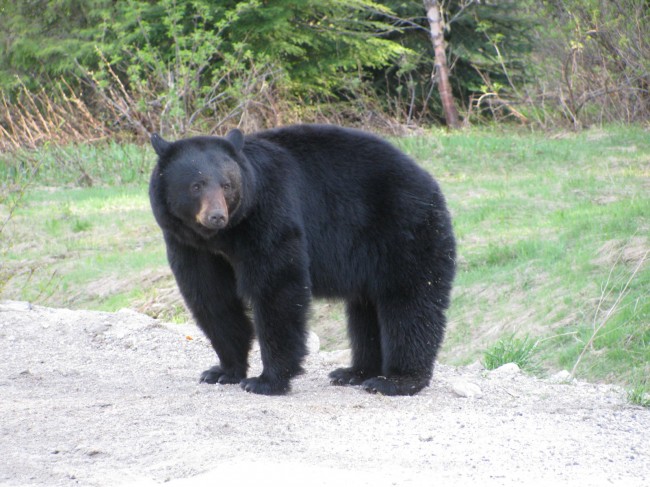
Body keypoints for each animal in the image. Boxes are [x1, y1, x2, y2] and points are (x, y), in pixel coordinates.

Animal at [149, 124, 456, 396]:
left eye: (227, 185)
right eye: (196, 185)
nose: (216, 216)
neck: (224, 236)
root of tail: (431, 183)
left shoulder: (270, 213)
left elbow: (277, 287)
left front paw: (266, 380)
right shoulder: (189, 245)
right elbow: (211, 296)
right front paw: (223, 371)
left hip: (403, 230)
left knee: (409, 302)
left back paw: (397, 380)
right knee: (366, 309)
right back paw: (355, 372)